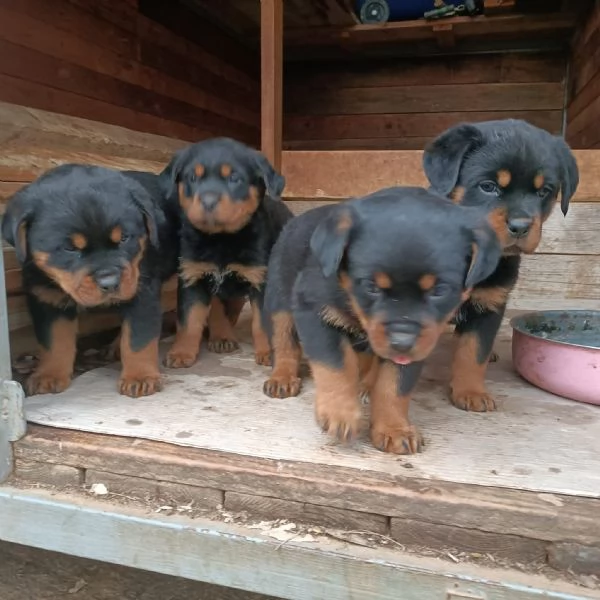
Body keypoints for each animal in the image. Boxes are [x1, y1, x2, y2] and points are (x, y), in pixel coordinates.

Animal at [2, 164, 180, 398]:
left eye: (124, 238)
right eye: (69, 248)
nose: (110, 282)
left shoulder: (142, 291)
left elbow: (138, 338)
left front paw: (140, 377)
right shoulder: (46, 298)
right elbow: (53, 341)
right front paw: (49, 375)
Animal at [162, 138, 296, 368]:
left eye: (234, 178)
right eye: (192, 178)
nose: (208, 201)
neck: (221, 239)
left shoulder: (259, 279)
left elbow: (261, 323)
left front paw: (268, 352)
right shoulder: (192, 277)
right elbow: (188, 321)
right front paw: (181, 352)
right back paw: (221, 336)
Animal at [262, 188, 502, 454]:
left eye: (439, 290)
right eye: (371, 286)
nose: (402, 342)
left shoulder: (419, 342)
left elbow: (394, 385)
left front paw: (393, 428)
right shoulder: (313, 311)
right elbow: (335, 364)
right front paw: (340, 413)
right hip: (278, 299)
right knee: (284, 341)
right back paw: (282, 378)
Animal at [424, 120, 580, 414]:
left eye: (544, 191)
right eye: (488, 186)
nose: (520, 227)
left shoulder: (490, 305)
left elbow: (474, 352)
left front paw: (471, 392)